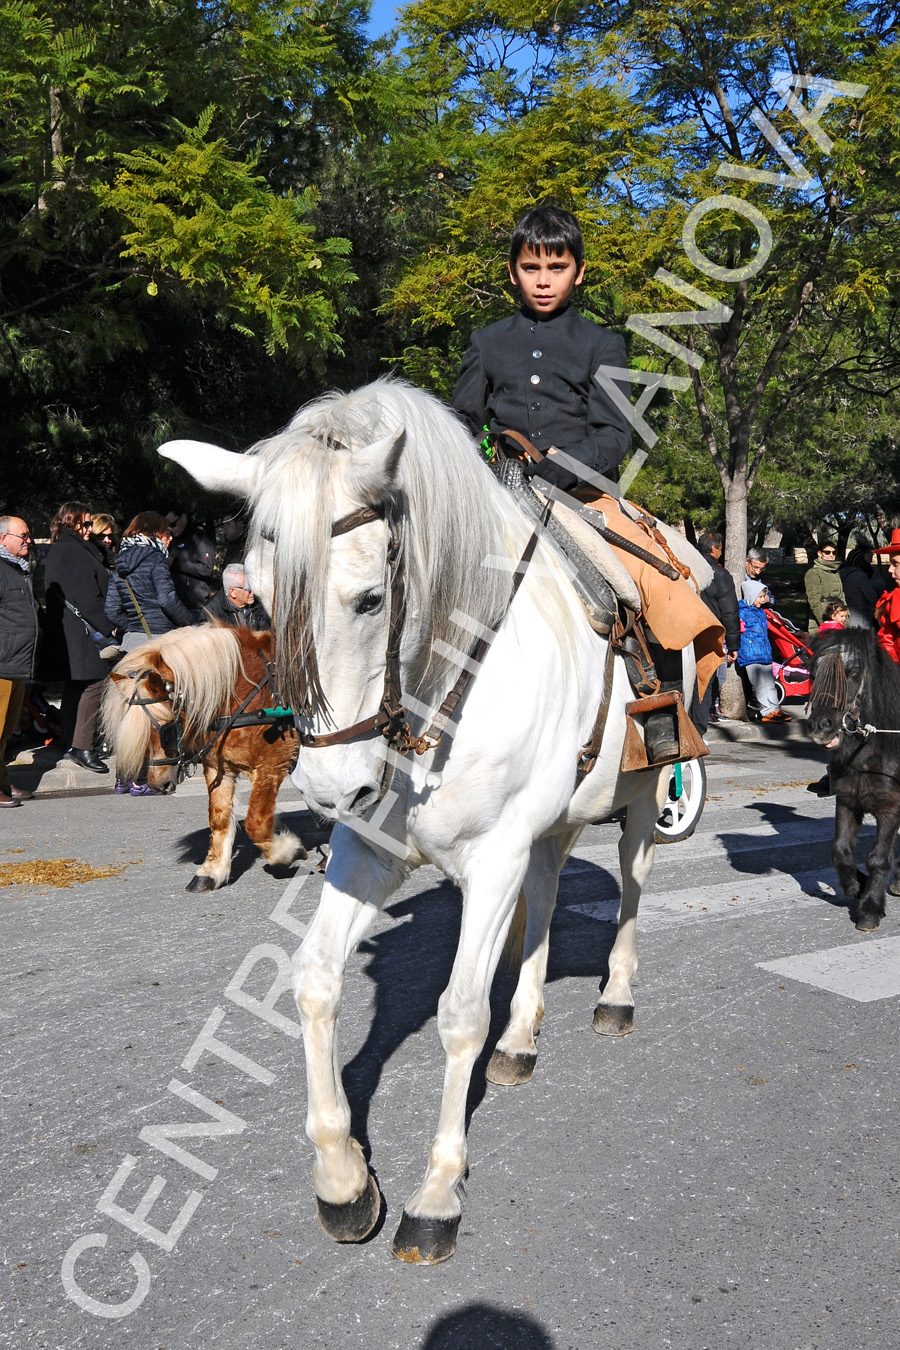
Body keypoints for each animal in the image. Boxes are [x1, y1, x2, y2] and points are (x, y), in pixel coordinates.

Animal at [103, 626, 302, 891]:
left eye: (165, 730)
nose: (156, 785)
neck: (240, 697)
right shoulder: (219, 769)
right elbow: (218, 819)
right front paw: (212, 871)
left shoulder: (271, 766)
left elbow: (256, 822)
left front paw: (287, 851)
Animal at [159, 378, 712, 1263]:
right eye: (262, 602)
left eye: (370, 598)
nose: (329, 790)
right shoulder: (371, 852)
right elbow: (313, 982)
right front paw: (344, 1178)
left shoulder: (493, 860)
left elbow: (459, 1013)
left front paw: (436, 1194)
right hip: (552, 826)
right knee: (548, 895)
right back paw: (521, 1039)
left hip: (641, 796)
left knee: (631, 884)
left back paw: (617, 996)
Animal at [804, 626, 900, 934]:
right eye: (813, 674)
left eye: (854, 673)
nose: (821, 726)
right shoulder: (846, 802)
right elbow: (840, 851)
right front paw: (858, 886)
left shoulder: (891, 809)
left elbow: (879, 858)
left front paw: (870, 909)